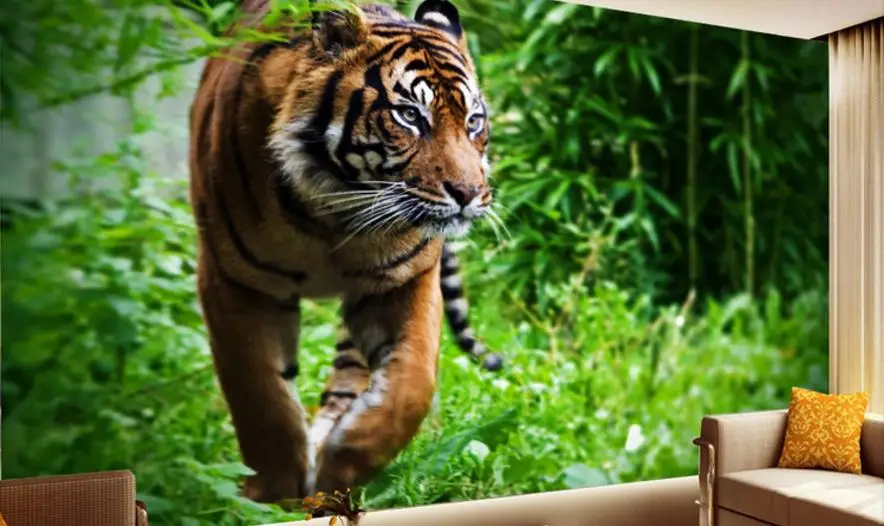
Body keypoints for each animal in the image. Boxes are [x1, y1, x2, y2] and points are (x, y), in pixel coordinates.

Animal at [188, 0, 501, 504]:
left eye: (473, 120)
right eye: (410, 116)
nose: (470, 193)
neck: (333, 214)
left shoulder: (405, 281)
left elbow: (411, 386)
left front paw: (341, 468)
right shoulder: (234, 281)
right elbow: (260, 394)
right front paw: (273, 495)